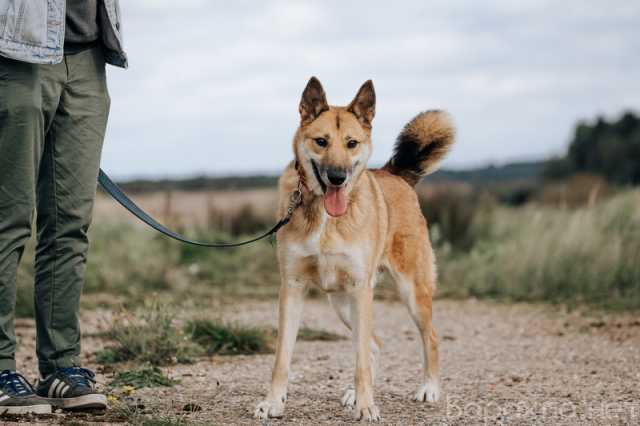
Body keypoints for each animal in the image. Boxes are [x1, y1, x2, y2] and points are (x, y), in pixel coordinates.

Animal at [255, 78, 456, 422]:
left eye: (352, 143)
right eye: (321, 141)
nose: (338, 177)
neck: (326, 216)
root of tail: (393, 173)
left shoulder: (361, 289)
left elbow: (360, 359)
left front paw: (366, 406)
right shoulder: (292, 288)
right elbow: (282, 357)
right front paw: (273, 403)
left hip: (408, 291)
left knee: (427, 337)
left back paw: (428, 388)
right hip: (342, 301)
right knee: (373, 344)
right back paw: (354, 394)